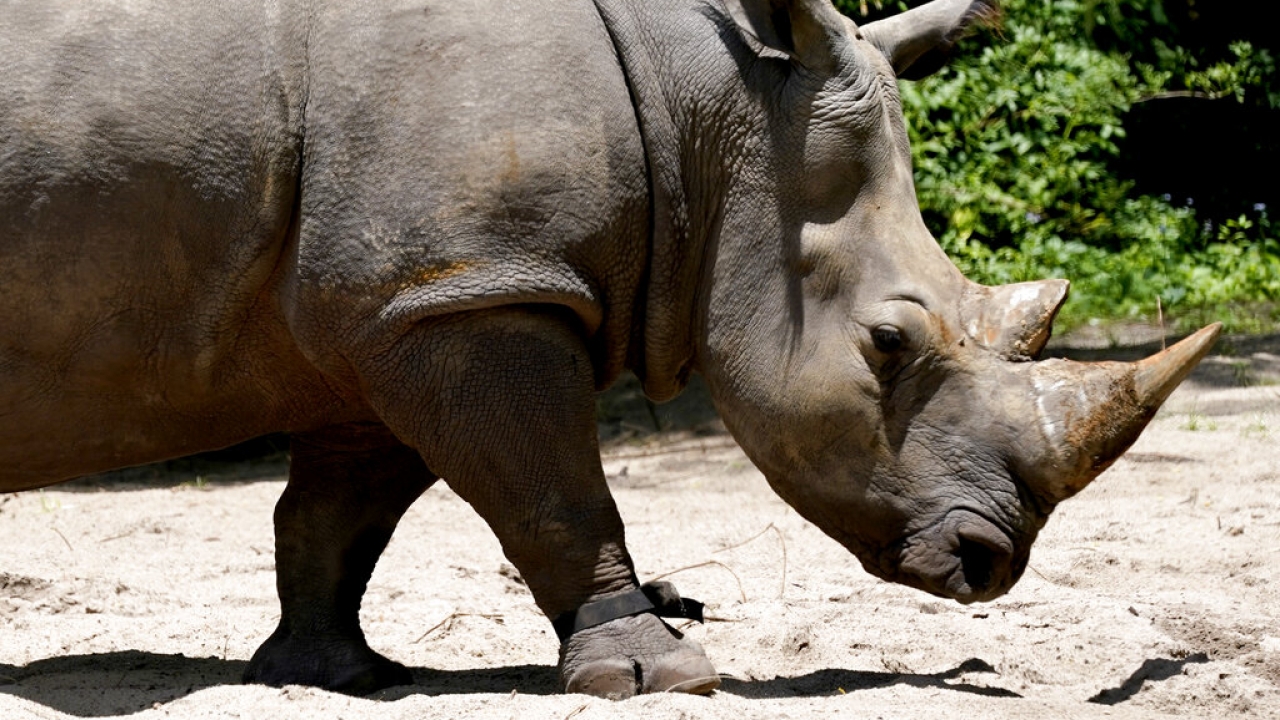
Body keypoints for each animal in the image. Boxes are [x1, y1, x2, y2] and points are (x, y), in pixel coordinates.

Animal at [1, 0, 1218, 700]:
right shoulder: (473, 288)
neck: (716, 111)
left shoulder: (399, 299)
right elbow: (553, 491)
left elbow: (336, 516)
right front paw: (657, 673)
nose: (985, 565)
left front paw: (331, 677)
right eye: (887, 341)